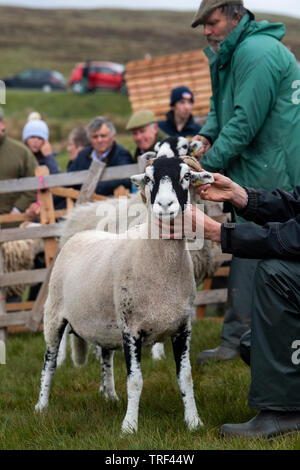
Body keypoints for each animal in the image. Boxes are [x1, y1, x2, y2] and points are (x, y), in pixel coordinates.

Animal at [34, 155, 213, 434]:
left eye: (186, 176)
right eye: (149, 178)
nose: (165, 205)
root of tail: (79, 234)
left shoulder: (183, 327)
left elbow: (185, 377)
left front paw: (194, 422)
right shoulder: (131, 329)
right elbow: (135, 381)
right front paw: (129, 427)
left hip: (104, 322)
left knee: (105, 355)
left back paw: (109, 395)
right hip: (54, 315)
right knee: (49, 362)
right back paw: (42, 406)